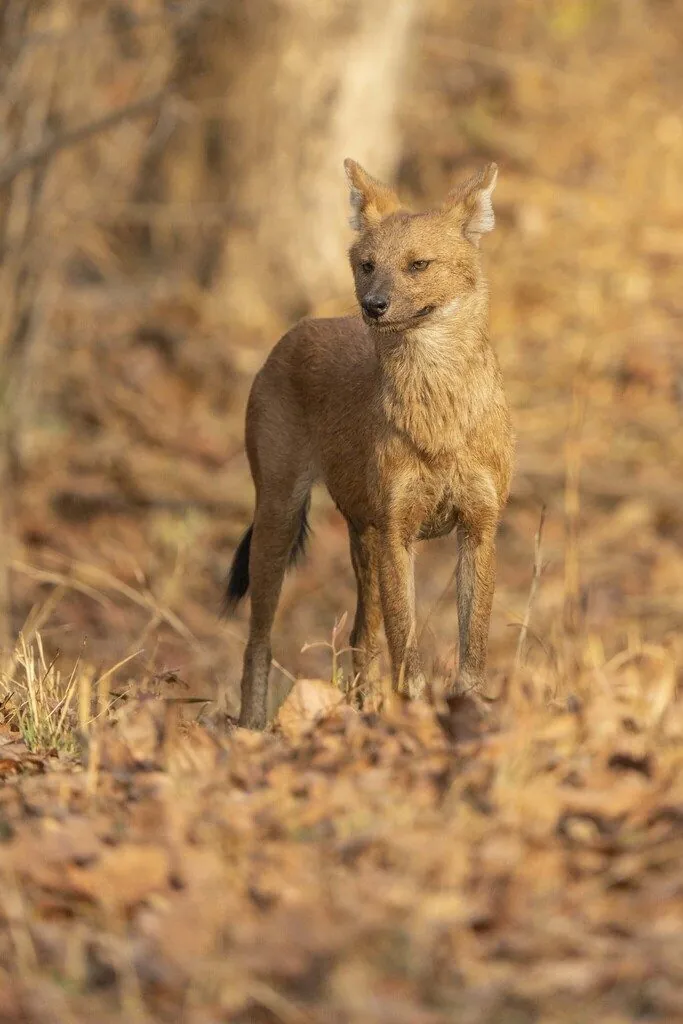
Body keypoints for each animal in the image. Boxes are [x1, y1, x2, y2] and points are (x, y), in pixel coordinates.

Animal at [223, 158, 514, 730]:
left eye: (418, 265)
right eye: (366, 265)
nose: (373, 306)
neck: (438, 416)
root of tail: (295, 331)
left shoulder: (478, 528)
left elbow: (471, 653)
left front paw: (465, 717)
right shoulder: (399, 532)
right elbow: (408, 653)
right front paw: (416, 717)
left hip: (363, 538)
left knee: (360, 637)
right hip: (281, 517)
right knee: (258, 642)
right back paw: (252, 729)